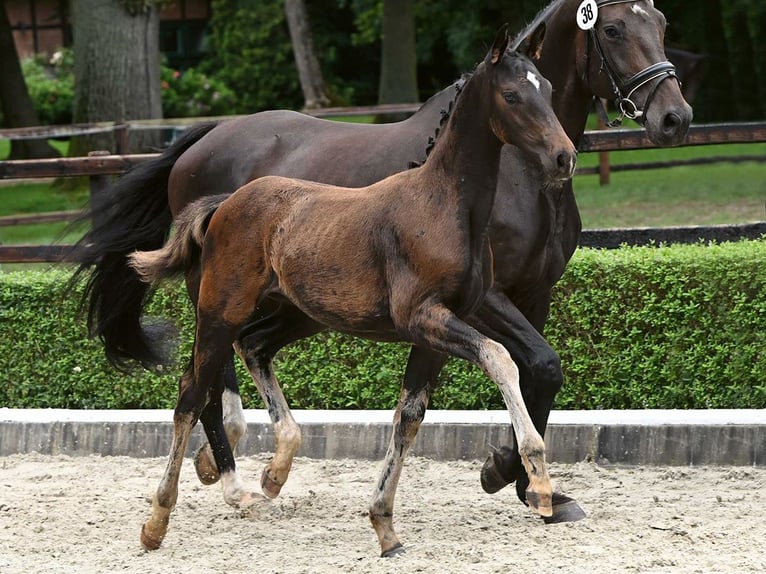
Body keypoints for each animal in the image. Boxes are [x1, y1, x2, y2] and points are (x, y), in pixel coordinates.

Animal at [130, 29, 576, 556]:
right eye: (511, 95)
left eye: (548, 88)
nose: (564, 157)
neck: (446, 206)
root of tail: (224, 203)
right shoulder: (423, 317)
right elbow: (501, 358)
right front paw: (540, 483)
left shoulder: (439, 330)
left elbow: (408, 417)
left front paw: (385, 525)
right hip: (220, 309)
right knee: (193, 395)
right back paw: (162, 519)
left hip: (295, 312)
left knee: (248, 350)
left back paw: (272, 471)